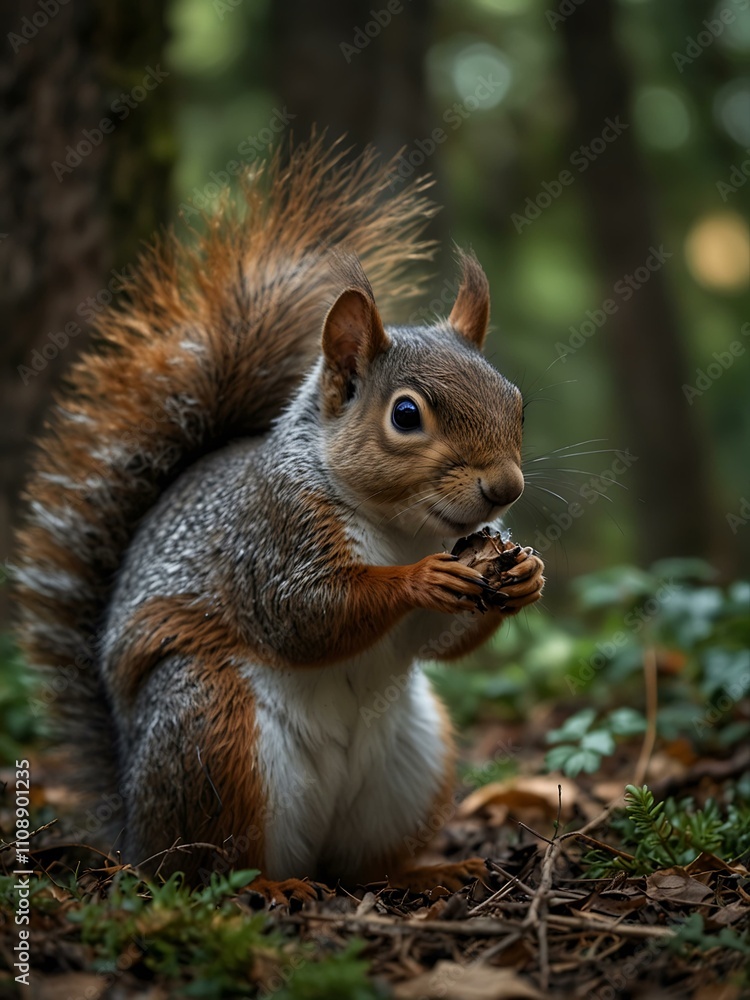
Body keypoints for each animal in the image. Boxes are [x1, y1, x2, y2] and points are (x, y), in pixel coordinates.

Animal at [15, 135, 544, 903]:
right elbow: (305, 613)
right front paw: (418, 580)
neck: (398, 527)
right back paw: (270, 888)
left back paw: (431, 871)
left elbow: (437, 642)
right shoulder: (272, 535)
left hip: (411, 763)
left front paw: (526, 574)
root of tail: (134, 831)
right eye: (406, 415)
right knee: (210, 866)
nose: (505, 488)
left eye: (518, 402)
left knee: (361, 867)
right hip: (213, 731)